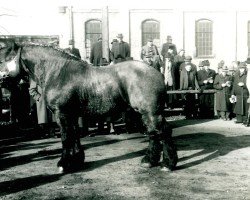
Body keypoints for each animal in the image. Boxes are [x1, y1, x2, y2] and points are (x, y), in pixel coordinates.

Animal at [0, 38, 178, 172]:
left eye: (4, 59)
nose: (2, 82)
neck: (58, 72)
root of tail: (156, 72)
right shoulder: (71, 115)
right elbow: (74, 135)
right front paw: (77, 160)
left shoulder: (62, 114)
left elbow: (66, 137)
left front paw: (64, 164)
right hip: (145, 112)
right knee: (153, 133)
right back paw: (149, 161)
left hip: (150, 112)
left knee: (163, 131)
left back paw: (167, 164)